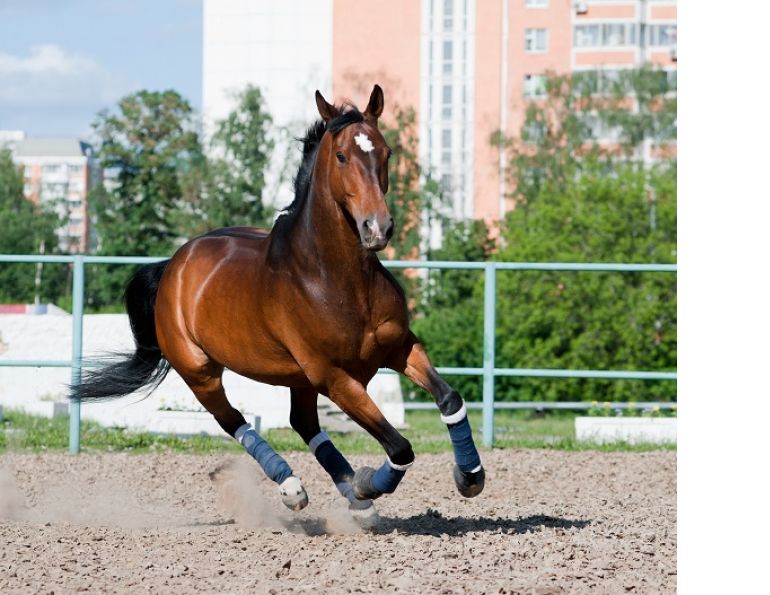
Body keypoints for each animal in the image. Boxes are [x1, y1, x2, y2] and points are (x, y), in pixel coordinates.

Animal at [73, 85, 485, 525]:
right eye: (342, 156)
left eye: (386, 151)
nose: (378, 228)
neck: (335, 278)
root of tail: (174, 264)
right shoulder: (333, 377)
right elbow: (399, 446)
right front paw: (366, 483)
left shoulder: (400, 348)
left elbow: (450, 399)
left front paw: (470, 476)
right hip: (200, 372)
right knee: (232, 421)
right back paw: (295, 488)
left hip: (297, 379)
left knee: (302, 423)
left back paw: (355, 501)